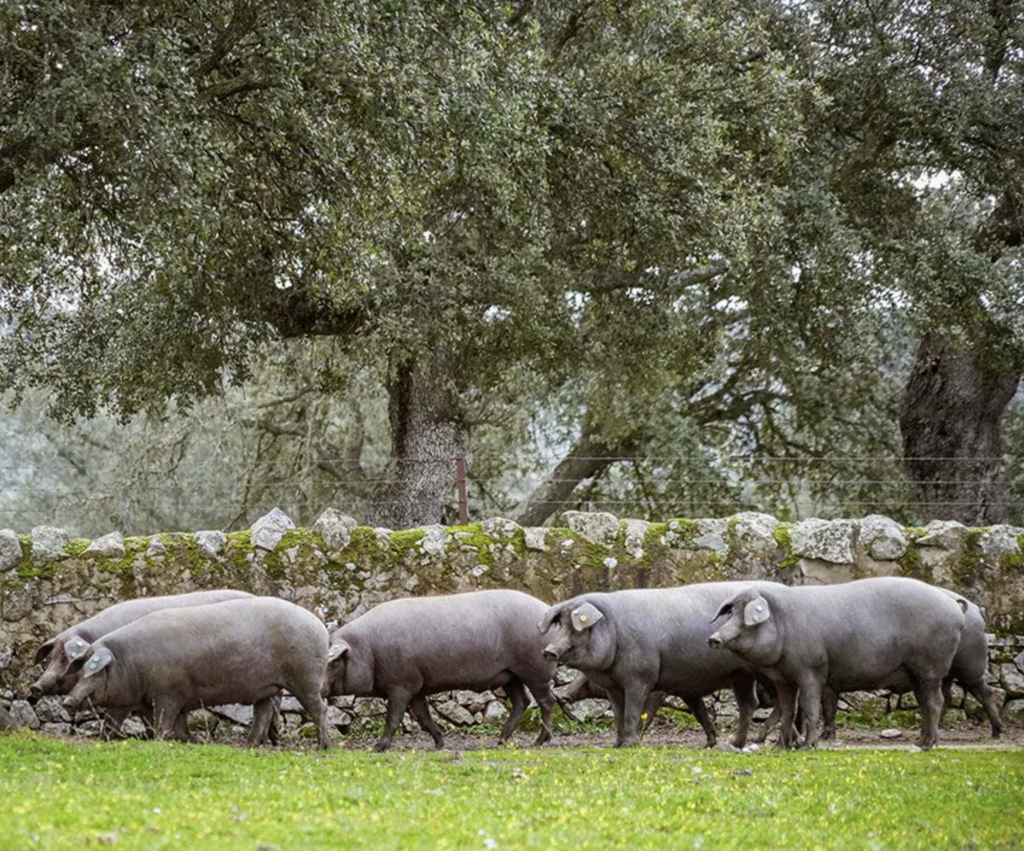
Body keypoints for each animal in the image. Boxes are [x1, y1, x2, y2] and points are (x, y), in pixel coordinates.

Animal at [62, 596, 332, 749]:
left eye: (95, 672)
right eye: (81, 671)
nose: (66, 701)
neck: (128, 663)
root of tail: (319, 624)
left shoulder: (167, 694)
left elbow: (164, 723)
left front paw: (161, 742)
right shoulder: (145, 699)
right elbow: (116, 722)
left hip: (306, 679)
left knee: (320, 708)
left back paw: (323, 747)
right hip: (268, 687)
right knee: (263, 713)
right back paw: (249, 746)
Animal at [325, 590, 558, 752]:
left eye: (333, 662)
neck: (368, 649)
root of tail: (545, 608)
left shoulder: (400, 684)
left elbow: (393, 717)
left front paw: (376, 748)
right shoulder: (417, 687)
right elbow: (424, 716)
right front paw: (439, 744)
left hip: (535, 670)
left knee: (547, 701)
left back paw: (538, 742)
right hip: (511, 675)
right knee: (522, 702)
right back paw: (500, 742)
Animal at [538, 582, 783, 748]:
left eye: (575, 628)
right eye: (560, 625)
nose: (548, 651)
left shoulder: (642, 678)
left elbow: (636, 712)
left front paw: (631, 744)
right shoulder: (615, 686)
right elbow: (619, 713)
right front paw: (617, 745)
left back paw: (762, 738)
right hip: (742, 675)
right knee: (749, 704)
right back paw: (736, 743)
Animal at [707, 577, 966, 749]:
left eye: (746, 618)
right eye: (731, 614)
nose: (713, 638)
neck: (784, 624)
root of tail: (954, 607)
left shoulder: (812, 670)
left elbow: (810, 709)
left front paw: (807, 747)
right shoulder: (783, 678)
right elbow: (788, 711)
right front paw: (779, 748)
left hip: (931, 666)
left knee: (935, 701)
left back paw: (927, 745)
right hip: (914, 673)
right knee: (924, 703)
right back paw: (918, 742)